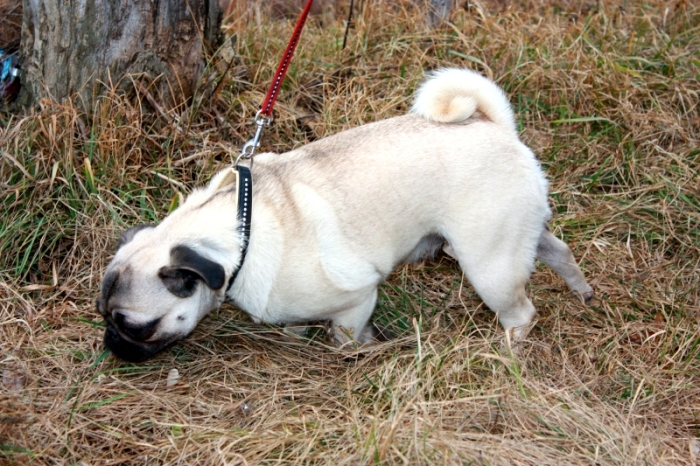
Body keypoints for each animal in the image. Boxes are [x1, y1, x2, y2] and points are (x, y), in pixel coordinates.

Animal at [96, 68, 593, 362]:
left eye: (135, 328)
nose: (111, 345)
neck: (240, 232)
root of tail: (496, 127)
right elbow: (295, 324)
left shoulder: (358, 298)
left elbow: (347, 335)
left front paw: (354, 354)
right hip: (518, 232)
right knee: (558, 249)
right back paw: (582, 291)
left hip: (488, 264)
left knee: (521, 310)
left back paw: (507, 349)